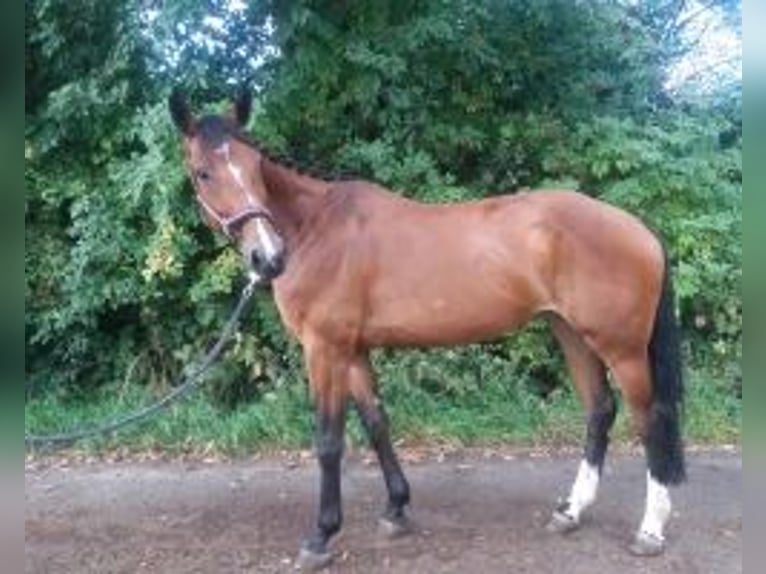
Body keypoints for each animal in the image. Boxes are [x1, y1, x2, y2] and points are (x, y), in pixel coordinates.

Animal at [168, 90, 685, 569]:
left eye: (256, 167)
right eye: (203, 172)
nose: (268, 258)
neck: (316, 228)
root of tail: (638, 227)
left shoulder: (325, 349)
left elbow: (329, 441)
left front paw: (321, 536)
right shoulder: (353, 351)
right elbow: (377, 423)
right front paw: (396, 509)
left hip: (622, 349)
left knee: (650, 420)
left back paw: (650, 530)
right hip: (572, 335)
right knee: (600, 411)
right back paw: (572, 512)